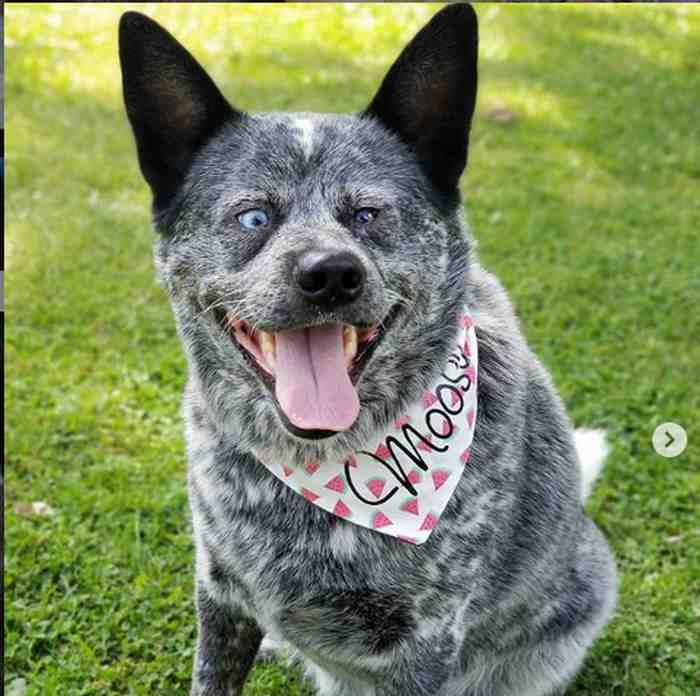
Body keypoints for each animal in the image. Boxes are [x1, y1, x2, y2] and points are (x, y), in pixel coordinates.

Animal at [120, 6, 616, 696]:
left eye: (368, 214)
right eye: (254, 218)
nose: (330, 274)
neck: (317, 465)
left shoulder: (424, 642)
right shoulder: (219, 592)